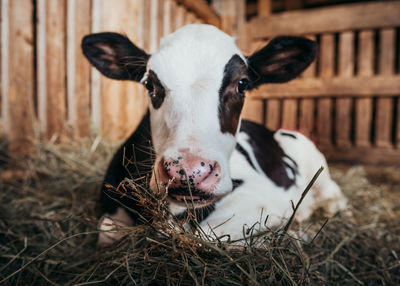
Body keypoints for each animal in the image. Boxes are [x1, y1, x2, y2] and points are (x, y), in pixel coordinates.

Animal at [82, 24, 346, 246]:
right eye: (149, 83)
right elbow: (107, 231)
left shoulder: (261, 195)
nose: (189, 171)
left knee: (334, 199)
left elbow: (206, 234)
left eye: (242, 84)